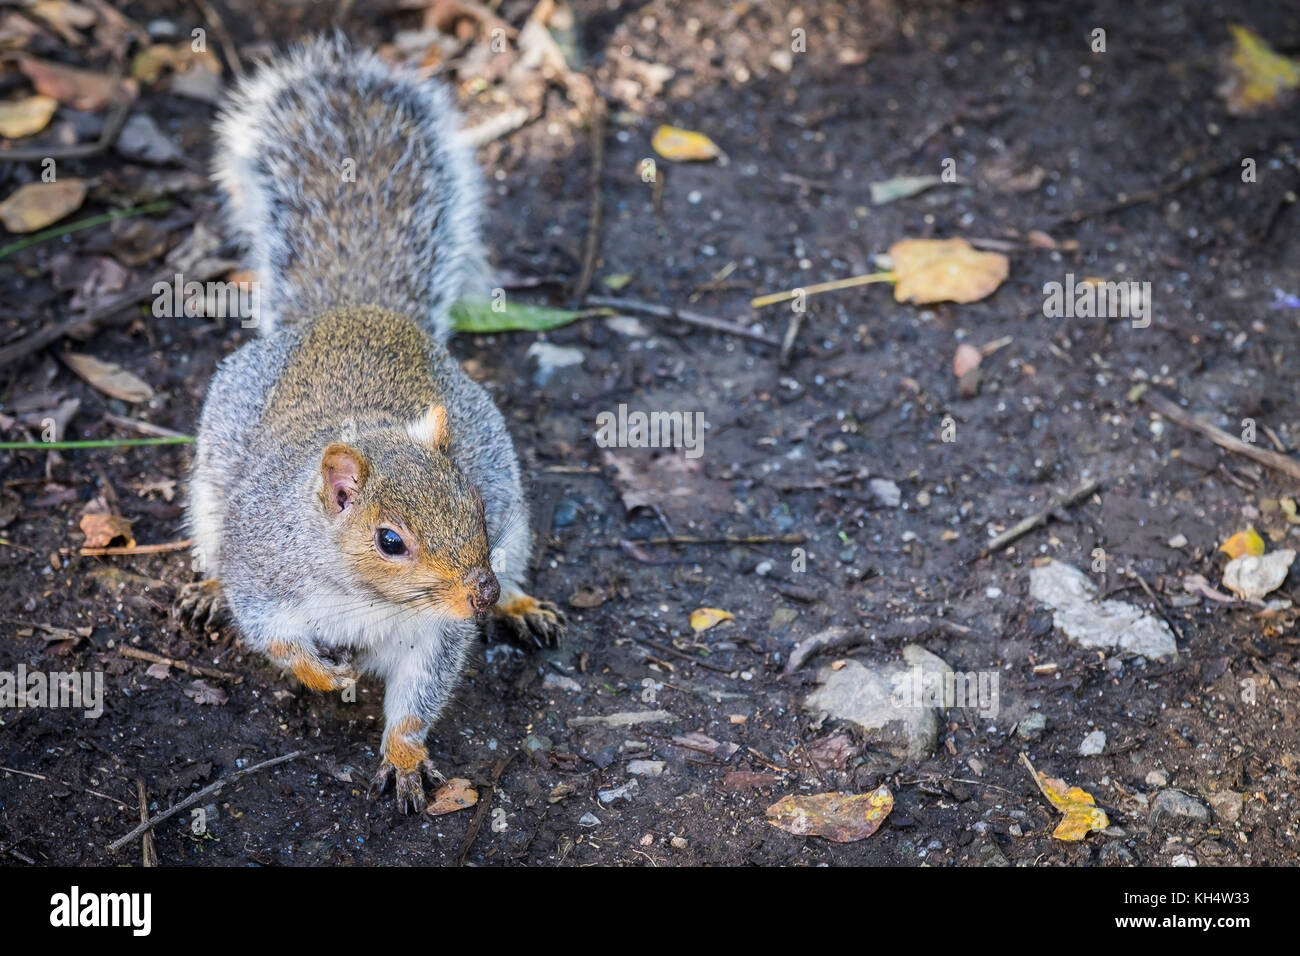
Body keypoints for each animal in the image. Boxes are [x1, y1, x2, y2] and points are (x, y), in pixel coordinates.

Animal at [182, 39, 564, 816]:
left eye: (474, 506)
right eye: (390, 541)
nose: (477, 593)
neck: (363, 599)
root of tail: (359, 309)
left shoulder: (434, 631)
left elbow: (419, 697)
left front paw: (405, 756)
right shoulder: (267, 580)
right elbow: (276, 640)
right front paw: (327, 676)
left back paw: (518, 601)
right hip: (210, 488)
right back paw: (207, 587)